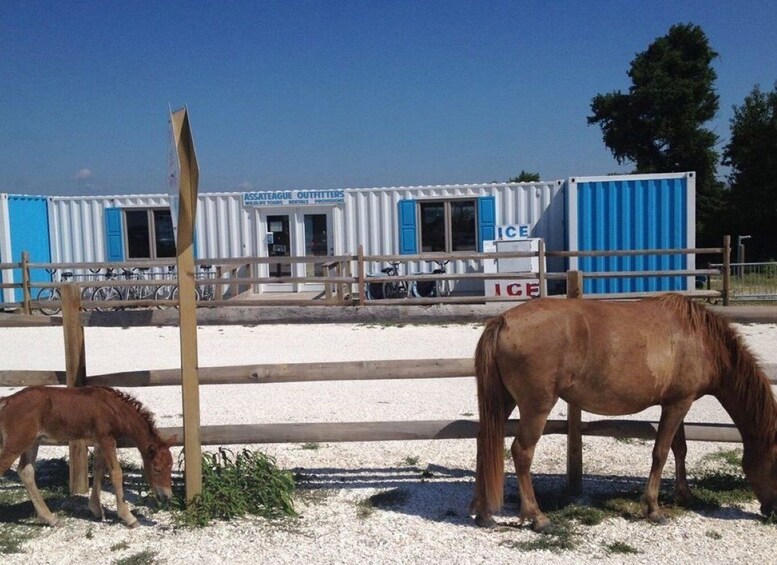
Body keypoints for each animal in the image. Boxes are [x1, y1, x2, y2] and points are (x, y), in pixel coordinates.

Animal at [0, 386, 176, 528]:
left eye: (170, 466)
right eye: (156, 468)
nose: (167, 496)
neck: (113, 408)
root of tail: (7, 401)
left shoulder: (99, 441)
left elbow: (99, 470)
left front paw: (96, 509)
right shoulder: (107, 439)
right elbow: (116, 473)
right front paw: (129, 517)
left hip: (32, 442)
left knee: (26, 472)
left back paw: (51, 518)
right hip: (18, 442)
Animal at [466, 294, 776, 532]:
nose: (771, 511)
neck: (700, 339)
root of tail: (504, 320)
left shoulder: (676, 402)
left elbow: (679, 449)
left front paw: (686, 495)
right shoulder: (678, 404)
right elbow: (661, 452)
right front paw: (653, 509)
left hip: (504, 401)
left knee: (485, 442)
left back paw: (484, 514)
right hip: (536, 406)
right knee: (521, 452)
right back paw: (537, 517)